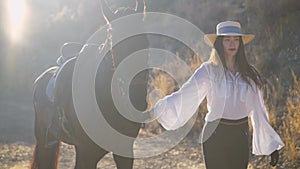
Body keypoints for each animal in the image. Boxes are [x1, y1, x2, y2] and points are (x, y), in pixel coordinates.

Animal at [30, 0, 148, 168]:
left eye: (144, 32)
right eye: (113, 36)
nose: (137, 96)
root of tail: (41, 79)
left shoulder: (124, 153)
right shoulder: (86, 154)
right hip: (44, 141)